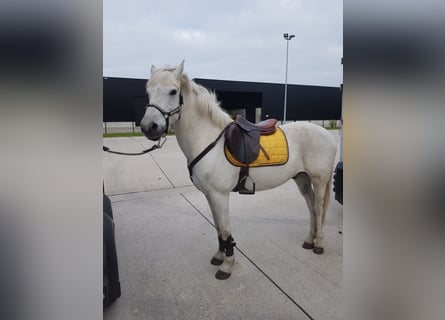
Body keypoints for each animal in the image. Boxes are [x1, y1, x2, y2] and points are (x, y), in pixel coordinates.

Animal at [140, 60, 334, 280]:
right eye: (148, 92)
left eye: (173, 91)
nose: (149, 127)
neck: (208, 139)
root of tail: (329, 135)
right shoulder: (209, 195)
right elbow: (218, 227)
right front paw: (219, 255)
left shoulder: (220, 195)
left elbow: (225, 229)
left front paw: (227, 265)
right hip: (302, 179)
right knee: (311, 207)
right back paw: (309, 240)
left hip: (319, 181)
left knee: (319, 209)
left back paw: (318, 244)